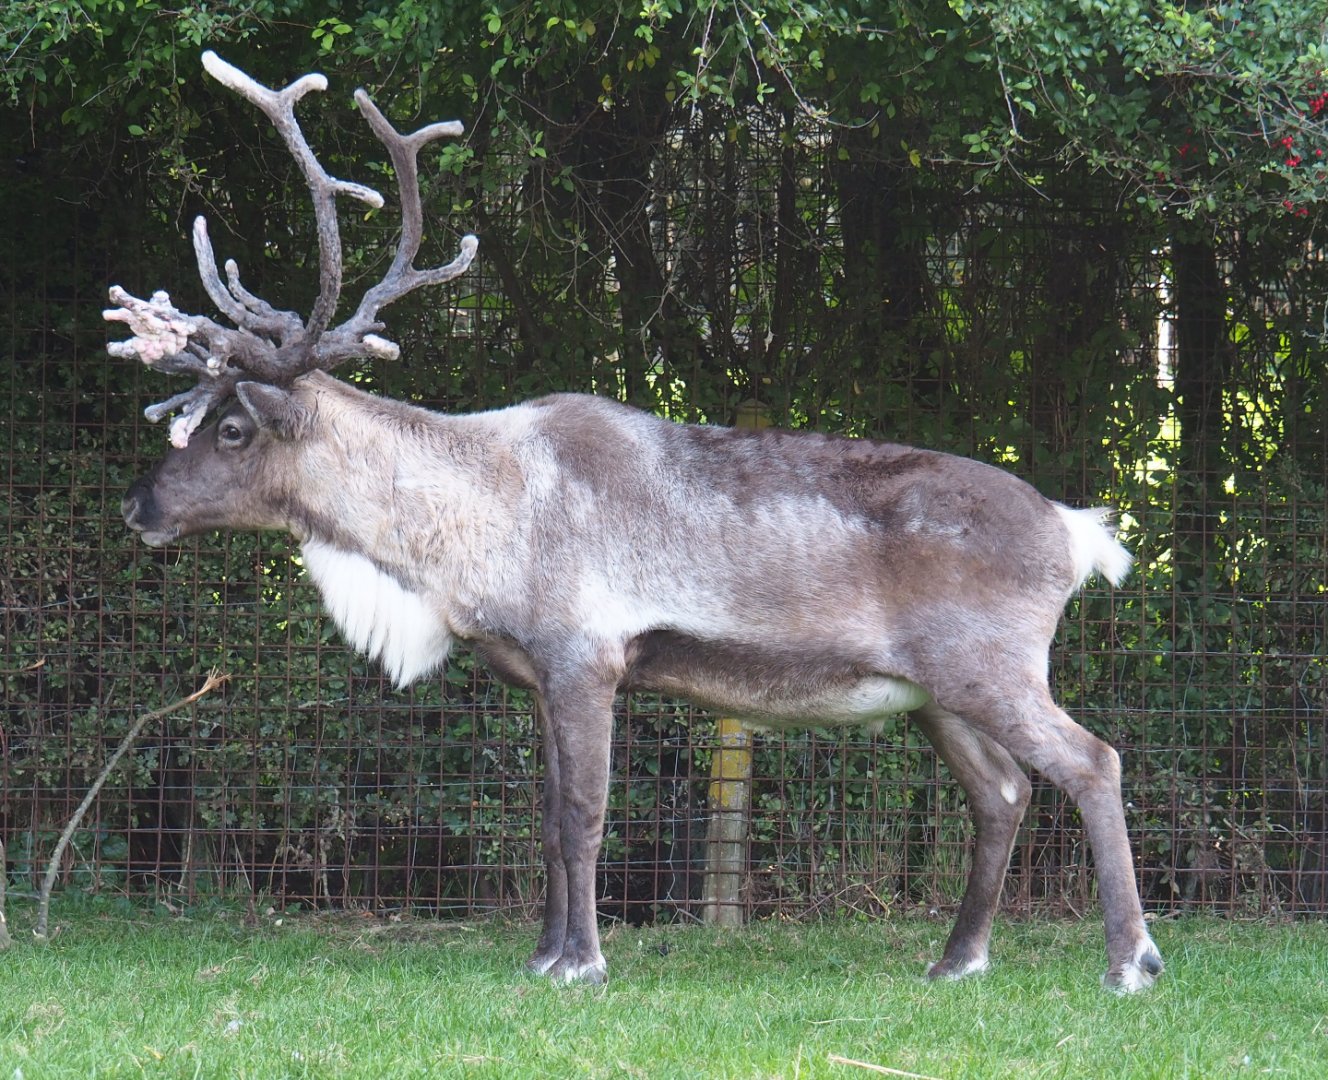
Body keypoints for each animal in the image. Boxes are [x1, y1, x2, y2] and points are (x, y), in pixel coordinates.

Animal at [111, 52, 1163, 992]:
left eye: (234, 428)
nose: (139, 506)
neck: (468, 528)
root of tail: (1077, 532)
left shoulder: (588, 654)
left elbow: (583, 814)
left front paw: (582, 962)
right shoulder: (537, 671)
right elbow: (544, 818)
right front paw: (540, 956)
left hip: (989, 667)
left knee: (1093, 761)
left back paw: (1130, 963)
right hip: (936, 692)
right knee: (1005, 792)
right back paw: (956, 961)